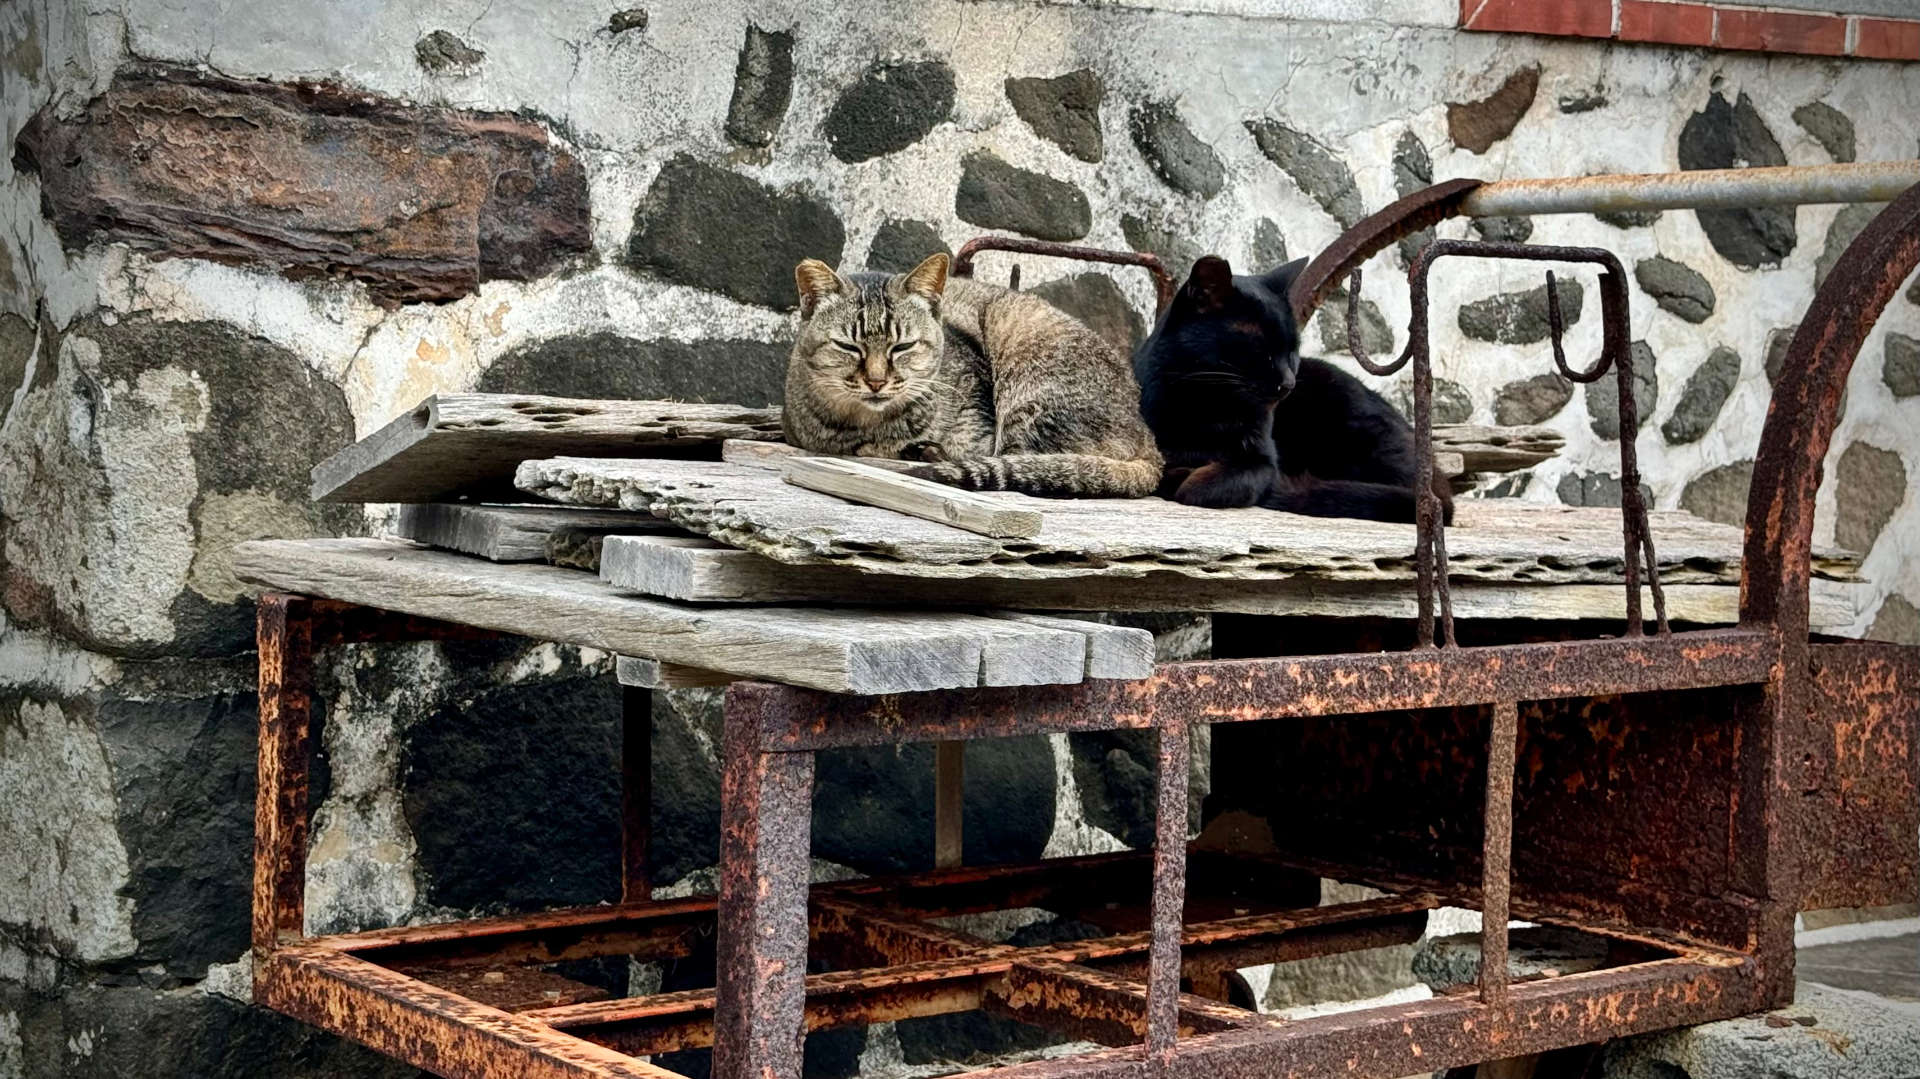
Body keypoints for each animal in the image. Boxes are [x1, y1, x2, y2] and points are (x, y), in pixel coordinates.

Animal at [775, 251, 1152, 495]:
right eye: (849, 347)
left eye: (902, 347)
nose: (876, 381)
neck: (865, 426)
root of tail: (1144, 430)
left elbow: (969, 446)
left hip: (1028, 383)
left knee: (1027, 461)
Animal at [1121, 251, 1451, 522]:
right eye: (1263, 349)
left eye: (1292, 350)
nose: (1289, 382)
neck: (1206, 404)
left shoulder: (1263, 462)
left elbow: (1216, 484)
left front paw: (1187, 478)